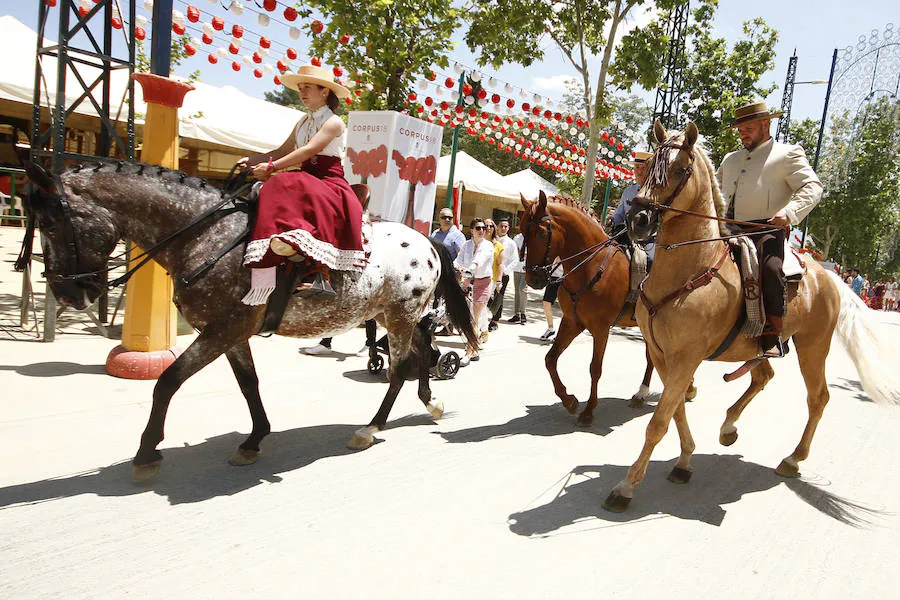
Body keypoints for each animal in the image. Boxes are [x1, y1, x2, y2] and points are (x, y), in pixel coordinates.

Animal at [24, 161, 482, 482]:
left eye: (49, 223)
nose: (68, 294)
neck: (203, 238)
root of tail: (429, 241)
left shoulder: (221, 330)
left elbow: (166, 382)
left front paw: (146, 452)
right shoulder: (231, 332)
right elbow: (249, 384)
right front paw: (255, 438)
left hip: (400, 316)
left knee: (401, 367)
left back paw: (370, 428)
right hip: (394, 316)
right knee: (422, 353)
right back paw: (431, 402)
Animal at [516, 193, 692, 426]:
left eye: (541, 233)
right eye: (522, 230)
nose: (533, 279)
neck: (591, 265)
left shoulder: (601, 328)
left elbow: (595, 368)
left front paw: (589, 410)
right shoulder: (572, 322)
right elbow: (550, 359)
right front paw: (569, 400)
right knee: (652, 358)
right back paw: (645, 393)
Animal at [604, 120, 900, 510]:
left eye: (681, 169)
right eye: (651, 164)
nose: (638, 219)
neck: (688, 270)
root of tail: (829, 275)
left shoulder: (685, 358)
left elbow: (659, 421)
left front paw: (625, 486)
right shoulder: (663, 355)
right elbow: (675, 409)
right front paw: (685, 460)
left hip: (813, 346)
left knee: (818, 398)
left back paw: (793, 458)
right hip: (759, 346)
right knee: (764, 376)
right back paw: (729, 428)